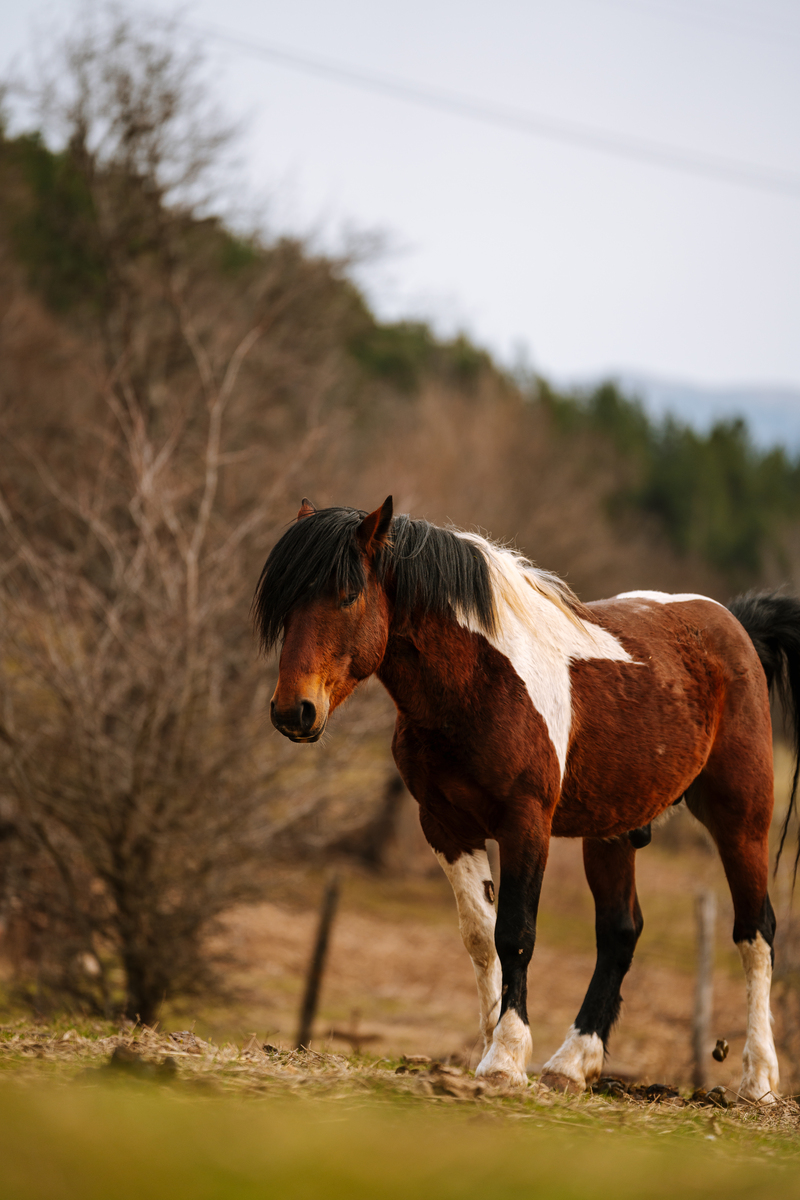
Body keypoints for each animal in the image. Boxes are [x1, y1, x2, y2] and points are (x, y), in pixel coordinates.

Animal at [253, 496, 800, 1101]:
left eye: (347, 595)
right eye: (285, 605)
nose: (293, 711)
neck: (476, 684)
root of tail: (735, 626)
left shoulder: (525, 823)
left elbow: (514, 934)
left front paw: (505, 1058)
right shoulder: (445, 826)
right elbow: (479, 937)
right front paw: (491, 1046)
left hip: (740, 819)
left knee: (756, 932)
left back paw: (758, 1080)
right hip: (610, 832)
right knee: (620, 932)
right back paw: (572, 1064)